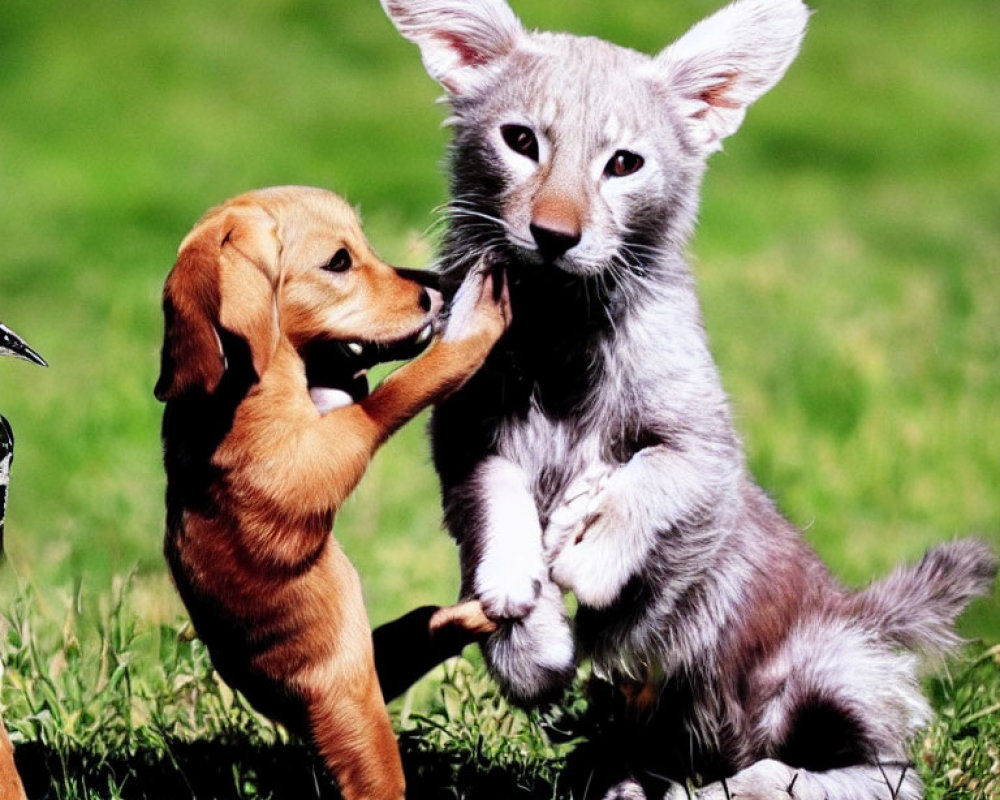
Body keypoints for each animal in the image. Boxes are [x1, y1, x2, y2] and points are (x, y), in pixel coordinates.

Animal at [155, 184, 508, 796]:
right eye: (339, 262)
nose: (439, 286)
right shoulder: (312, 461)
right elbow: (389, 398)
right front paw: (466, 339)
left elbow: (359, 388)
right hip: (356, 713)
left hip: (376, 659)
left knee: (420, 629)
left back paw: (468, 615)